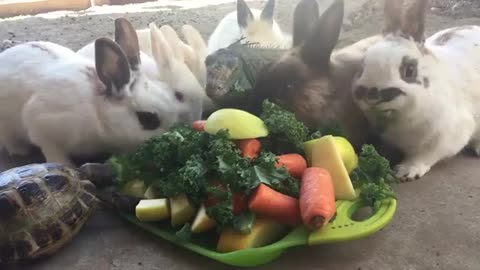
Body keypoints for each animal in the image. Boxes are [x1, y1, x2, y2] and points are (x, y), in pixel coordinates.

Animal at [0, 16, 183, 168]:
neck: (97, 113)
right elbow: (54, 154)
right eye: (147, 119)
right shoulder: (42, 127)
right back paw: (20, 150)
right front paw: (69, 167)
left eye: (171, 94)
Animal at [348, 0, 480, 181]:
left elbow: (426, 156)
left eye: (409, 71)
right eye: (362, 66)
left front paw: (405, 172)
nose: (371, 95)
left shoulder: (448, 135)